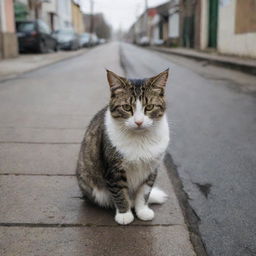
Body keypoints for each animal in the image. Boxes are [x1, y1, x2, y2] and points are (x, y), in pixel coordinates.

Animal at [76, 69, 170, 225]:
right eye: (126, 107)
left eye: (149, 107)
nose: (139, 122)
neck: (140, 139)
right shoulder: (114, 170)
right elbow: (120, 193)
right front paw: (124, 215)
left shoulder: (151, 168)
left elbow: (144, 192)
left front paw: (142, 211)